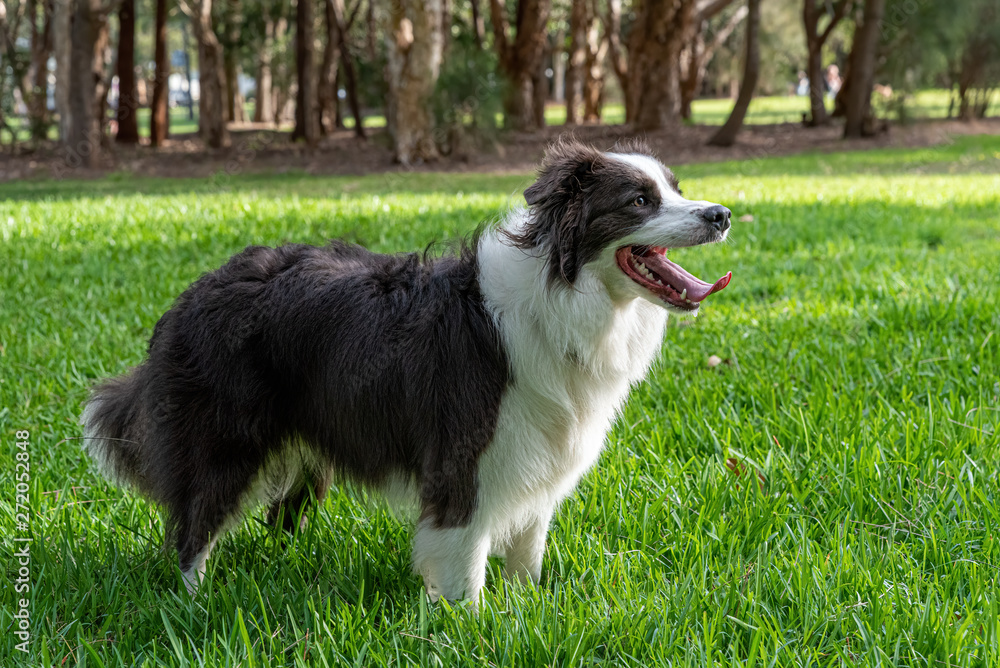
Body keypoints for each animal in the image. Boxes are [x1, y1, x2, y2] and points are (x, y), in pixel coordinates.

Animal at [82, 140, 732, 600]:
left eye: (676, 188)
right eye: (639, 201)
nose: (722, 213)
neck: (564, 294)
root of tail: (192, 294)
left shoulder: (539, 448)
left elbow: (528, 545)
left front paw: (528, 609)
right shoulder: (463, 453)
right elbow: (464, 554)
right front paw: (470, 626)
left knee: (277, 514)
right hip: (224, 434)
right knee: (193, 525)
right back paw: (195, 600)